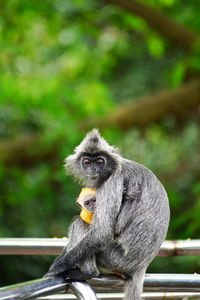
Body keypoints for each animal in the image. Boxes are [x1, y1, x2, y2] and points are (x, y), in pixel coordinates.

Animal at [46, 129, 170, 300]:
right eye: (87, 162)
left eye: (99, 162)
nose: (93, 171)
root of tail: (141, 266)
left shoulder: (112, 181)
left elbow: (103, 232)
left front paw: (58, 265)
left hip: (114, 257)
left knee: (78, 223)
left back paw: (88, 273)